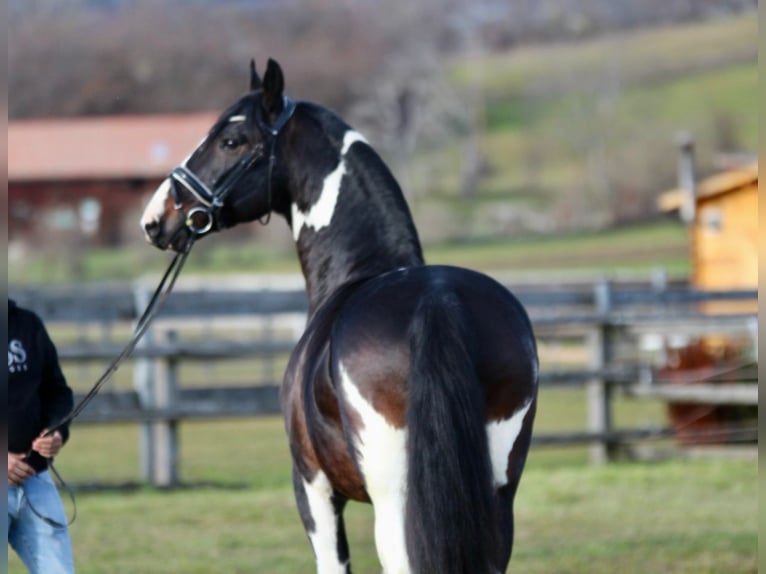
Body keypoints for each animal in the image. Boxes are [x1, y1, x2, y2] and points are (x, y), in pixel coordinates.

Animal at [142, 59, 540, 574]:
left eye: (231, 140)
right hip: (495, 498)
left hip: (393, 502)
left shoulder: (313, 487)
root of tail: (439, 300)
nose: (157, 218)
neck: (357, 271)